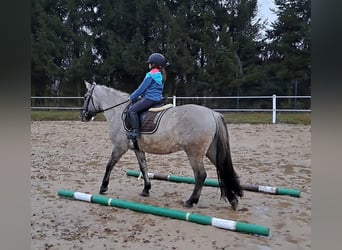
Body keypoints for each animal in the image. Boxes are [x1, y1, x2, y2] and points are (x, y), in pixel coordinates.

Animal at [79, 81, 243, 210]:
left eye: (86, 97)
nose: (83, 116)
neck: (118, 111)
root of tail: (212, 113)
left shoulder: (120, 147)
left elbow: (109, 165)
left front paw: (103, 187)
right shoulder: (138, 149)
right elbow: (143, 167)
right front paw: (146, 189)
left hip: (194, 153)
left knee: (201, 175)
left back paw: (191, 201)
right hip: (211, 150)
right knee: (222, 170)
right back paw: (233, 200)